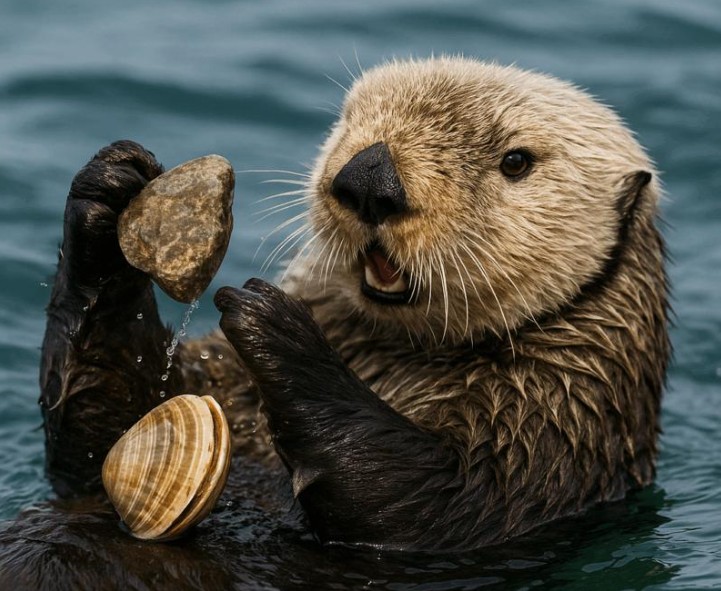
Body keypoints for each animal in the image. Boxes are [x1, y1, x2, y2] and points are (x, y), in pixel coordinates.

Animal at [1, 57, 669, 583]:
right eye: (349, 120)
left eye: (516, 161)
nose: (369, 177)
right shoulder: (227, 393)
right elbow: (97, 445)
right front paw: (108, 193)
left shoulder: (552, 434)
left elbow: (426, 501)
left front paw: (273, 321)